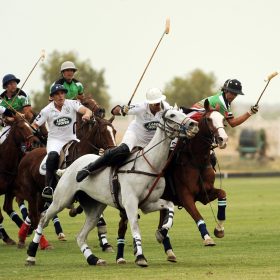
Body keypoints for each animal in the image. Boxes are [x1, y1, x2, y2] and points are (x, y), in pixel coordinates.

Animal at [15, 115, 116, 248]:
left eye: (114, 131)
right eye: (104, 132)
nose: (114, 151)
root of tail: (26, 155)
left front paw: (105, 243)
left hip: (40, 194)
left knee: (36, 214)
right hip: (31, 192)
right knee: (34, 214)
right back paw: (38, 241)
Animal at [115, 102, 229, 262]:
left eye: (223, 119)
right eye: (208, 119)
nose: (223, 139)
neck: (196, 161)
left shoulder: (204, 194)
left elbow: (222, 194)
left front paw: (219, 229)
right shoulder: (185, 196)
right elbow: (197, 216)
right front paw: (207, 237)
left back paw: (169, 251)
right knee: (123, 226)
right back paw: (120, 257)